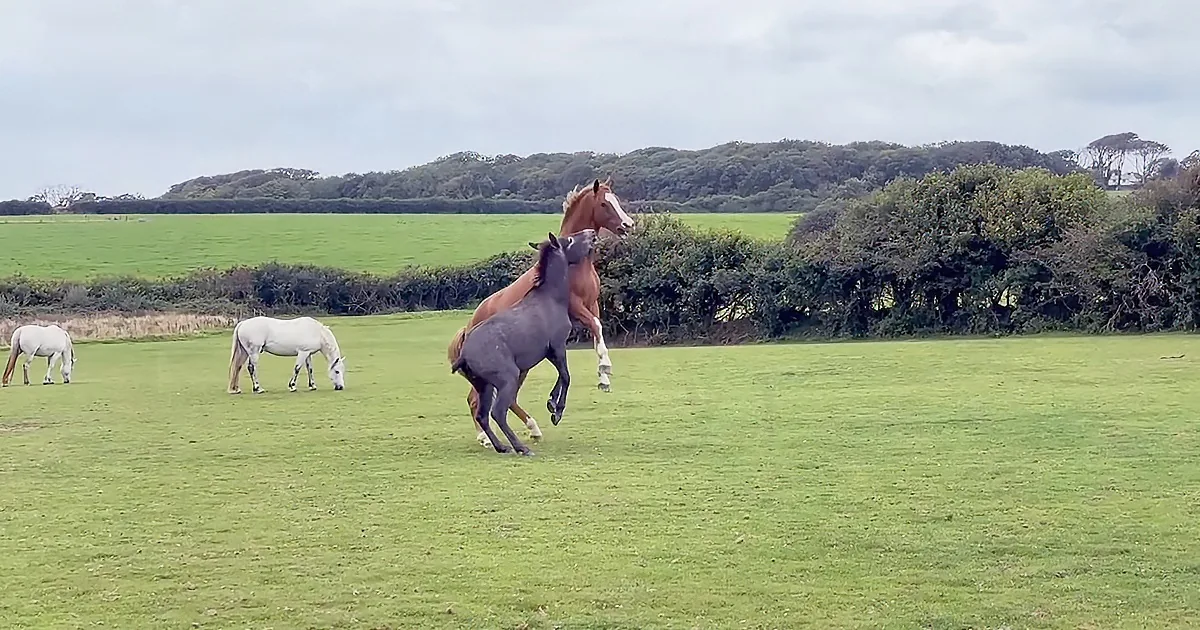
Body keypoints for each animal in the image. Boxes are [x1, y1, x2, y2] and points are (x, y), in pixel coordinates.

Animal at [451, 229, 597, 457]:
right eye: (571, 239)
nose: (591, 233)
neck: (551, 297)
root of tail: (463, 354)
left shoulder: (548, 353)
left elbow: (561, 377)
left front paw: (551, 402)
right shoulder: (557, 346)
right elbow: (566, 376)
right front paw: (557, 411)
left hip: (484, 385)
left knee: (482, 415)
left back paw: (501, 446)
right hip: (507, 378)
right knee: (498, 412)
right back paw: (521, 447)